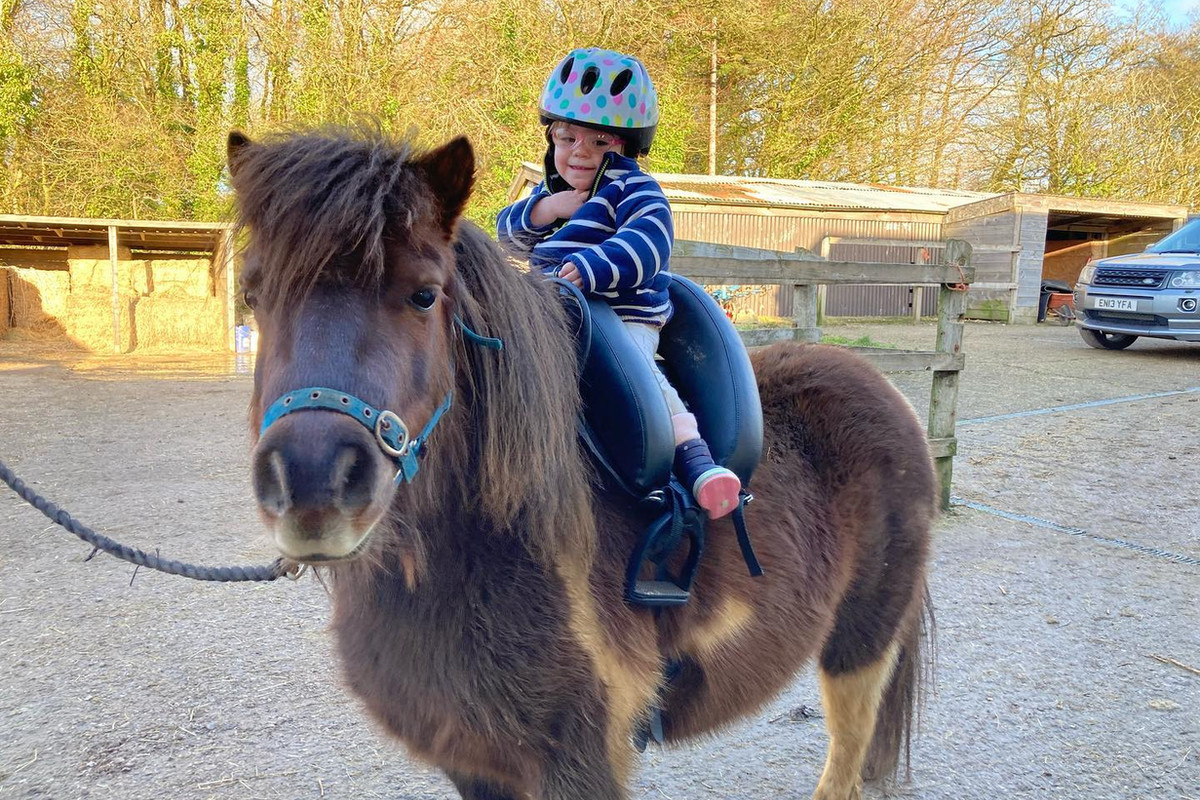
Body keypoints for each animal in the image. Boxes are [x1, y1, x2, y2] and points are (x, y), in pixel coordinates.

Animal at [228, 125, 936, 800]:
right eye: (254, 295)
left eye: (425, 295)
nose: (312, 486)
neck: (480, 547)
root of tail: (880, 385)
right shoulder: (470, 761)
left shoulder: (580, 760)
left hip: (859, 646)